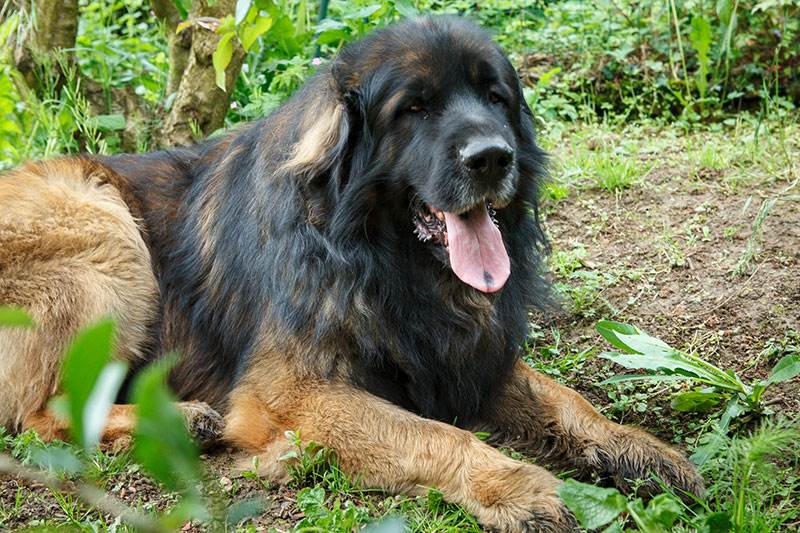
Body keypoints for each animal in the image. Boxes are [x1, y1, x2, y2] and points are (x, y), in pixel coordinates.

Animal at [0, 16, 703, 531]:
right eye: (415, 109)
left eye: (495, 97)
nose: (492, 158)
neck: (377, 258)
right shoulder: (294, 389)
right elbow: (433, 434)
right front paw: (513, 484)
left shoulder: (459, 354)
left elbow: (565, 398)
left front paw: (637, 447)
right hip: (104, 232)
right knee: (39, 414)